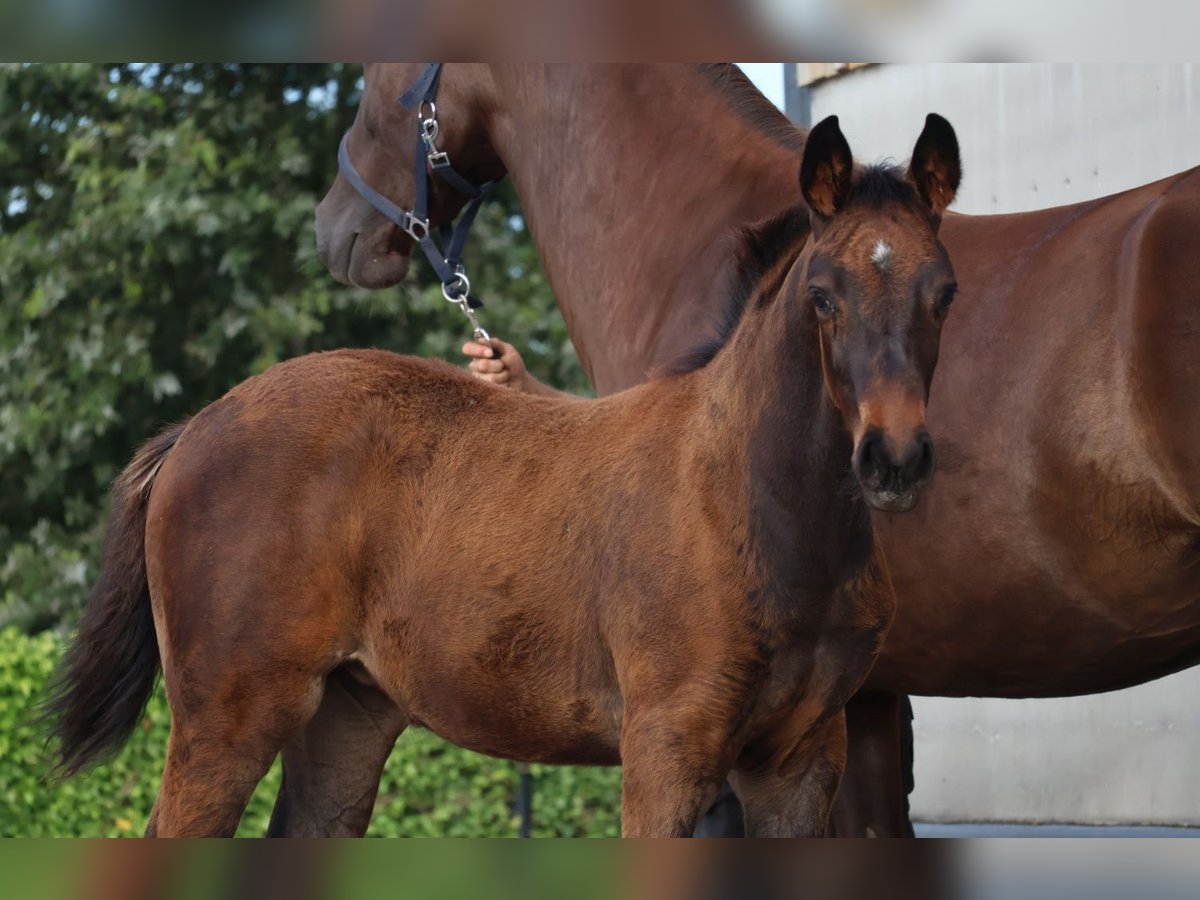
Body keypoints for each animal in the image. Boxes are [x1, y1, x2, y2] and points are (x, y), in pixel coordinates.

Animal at [51, 116, 960, 844]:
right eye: (823, 297)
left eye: (945, 293)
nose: (893, 458)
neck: (754, 503)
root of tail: (195, 428)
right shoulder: (668, 746)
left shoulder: (800, 760)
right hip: (228, 715)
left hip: (347, 715)